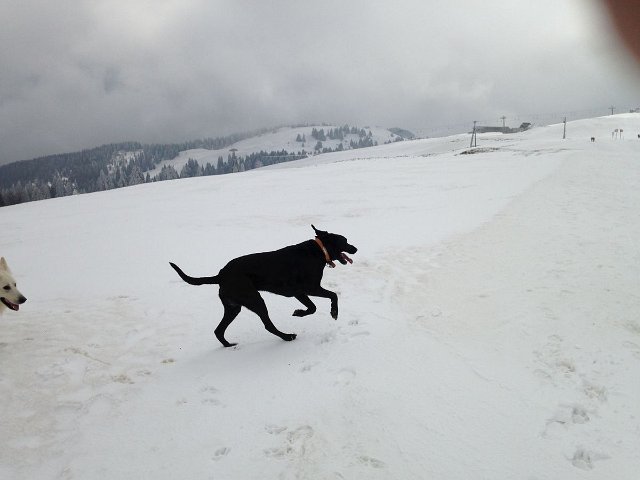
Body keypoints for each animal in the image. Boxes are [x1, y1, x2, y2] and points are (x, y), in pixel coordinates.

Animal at [170, 225, 358, 344]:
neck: (318, 251)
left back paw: (229, 345)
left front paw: (299, 312)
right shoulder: (309, 288)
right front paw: (333, 312)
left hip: (233, 306)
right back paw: (287, 337)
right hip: (255, 299)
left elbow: (312, 307)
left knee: (218, 330)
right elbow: (332, 295)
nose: (355, 248)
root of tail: (220, 275)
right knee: (267, 325)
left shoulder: (299, 292)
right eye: (345, 240)